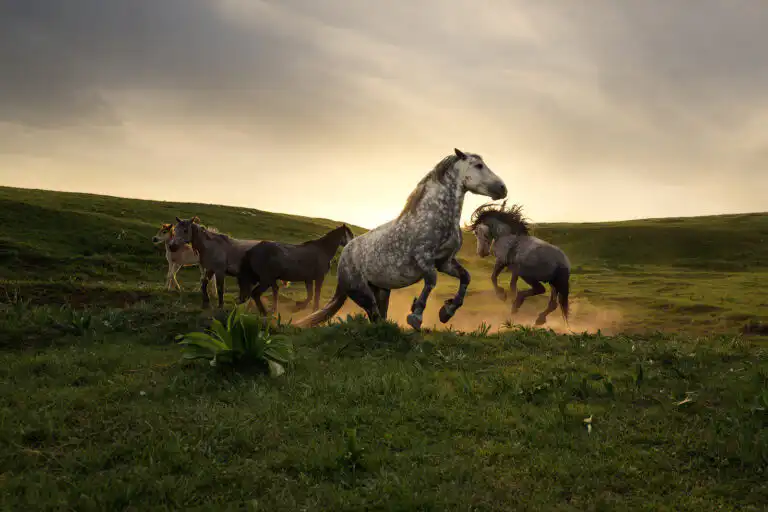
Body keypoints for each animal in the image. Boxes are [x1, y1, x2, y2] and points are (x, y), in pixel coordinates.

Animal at [295, 148, 507, 331]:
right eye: (478, 165)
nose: (502, 189)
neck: (433, 216)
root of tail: (344, 255)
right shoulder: (424, 259)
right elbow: (431, 281)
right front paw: (416, 316)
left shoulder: (445, 262)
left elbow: (465, 277)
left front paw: (446, 312)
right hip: (362, 292)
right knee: (375, 316)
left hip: (381, 291)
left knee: (379, 315)